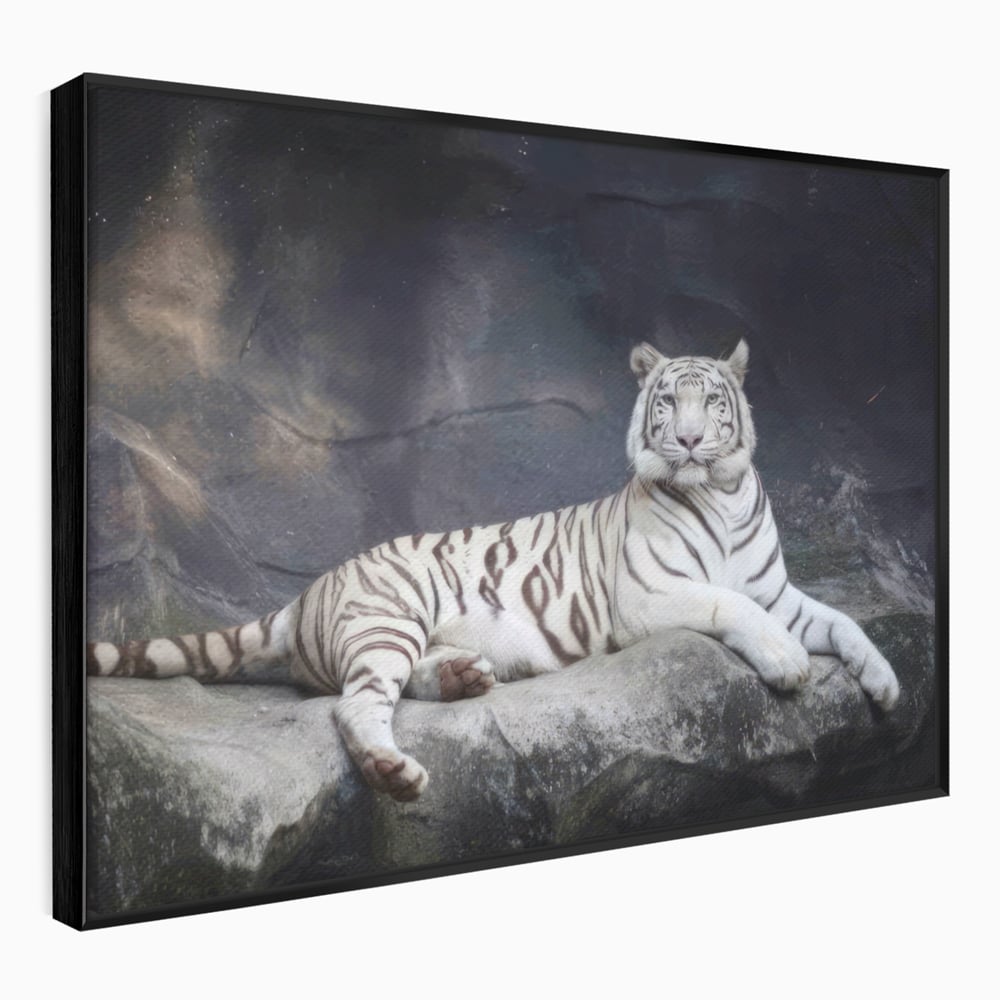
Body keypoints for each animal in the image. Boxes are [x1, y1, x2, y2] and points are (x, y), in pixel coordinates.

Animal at [87, 339, 901, 801]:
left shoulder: (777, 590)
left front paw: (887, 684)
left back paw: (463, 677)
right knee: (354, 706)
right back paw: (395, 771)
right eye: (670, 401)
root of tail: (309, 590)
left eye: (714, 404)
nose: (694, 441)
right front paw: (788, 663)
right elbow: (732, 609)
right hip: (388, 618)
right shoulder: (652, 597)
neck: (722, 492)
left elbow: (841, 622)